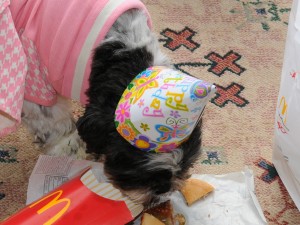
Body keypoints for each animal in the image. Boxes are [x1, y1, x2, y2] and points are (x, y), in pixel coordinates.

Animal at [1, 0, 214, 206]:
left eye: (186, 166)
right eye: (137, 174)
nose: (162, 191)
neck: (123, 49)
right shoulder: (35, 79)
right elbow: (53, 123)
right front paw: (70, 153)